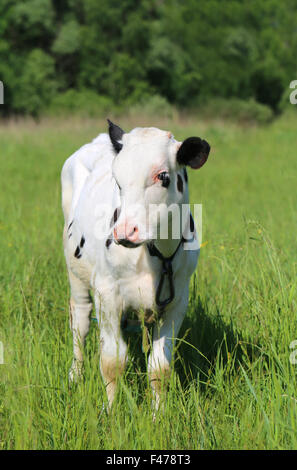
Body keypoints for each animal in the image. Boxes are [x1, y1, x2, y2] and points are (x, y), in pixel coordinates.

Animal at [60, 119, 209, 410]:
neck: (157, 253)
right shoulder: (107, 293)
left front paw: (158, 414)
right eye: (117, 180)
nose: (125, 231)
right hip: (76, 274)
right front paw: (110, 412)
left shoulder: (177, 301)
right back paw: (75, 374)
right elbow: (112, 361)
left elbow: (159, 367)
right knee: (79, 323)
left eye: (163, 176)